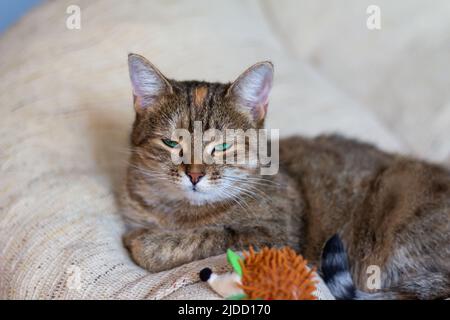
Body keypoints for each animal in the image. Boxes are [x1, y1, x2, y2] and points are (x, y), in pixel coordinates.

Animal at [120, 53, 450, 300]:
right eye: (171, 143)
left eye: (223, 146)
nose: (194, 174)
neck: (179, 211)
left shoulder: (275, 236)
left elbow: (207, 236)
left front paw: (144, 242)